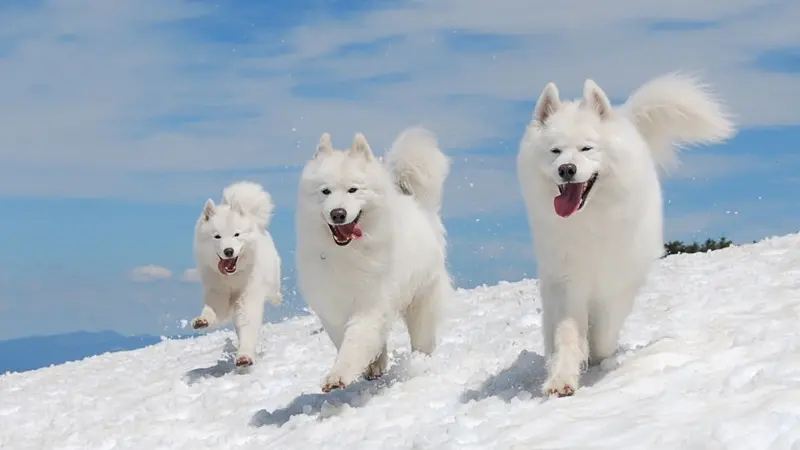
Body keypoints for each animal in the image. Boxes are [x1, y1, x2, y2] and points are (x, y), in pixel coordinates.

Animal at [192, 181, 282, 368]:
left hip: (272, 278)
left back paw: (277, 298)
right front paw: (202, 320)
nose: (228, 251)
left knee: (273, 291)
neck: (232, 278)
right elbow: (211, 309)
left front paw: (245, 357)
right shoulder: (217, 293)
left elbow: (247, 328)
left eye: (236, 234)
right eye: (217, 236)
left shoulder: (248, 298)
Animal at [296, 125, 456, 390]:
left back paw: (419, 363)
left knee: (422, 339)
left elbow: (355, 342)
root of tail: (418, 205)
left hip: (421, 301)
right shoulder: (332, 307)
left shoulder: (370, 303)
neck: (347, 254)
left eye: (353, 189)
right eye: (325, 191)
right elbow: (347, 339)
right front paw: (372, 364)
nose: (337, 213)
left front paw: (338, 375)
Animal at [516, 72, 736, 396]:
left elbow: (604, 330)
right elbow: (566, 333)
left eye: (586, 148)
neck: (589, 221)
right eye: (555, 151)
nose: (566, 169)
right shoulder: (566, 279)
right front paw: (562, 378)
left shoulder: (617, 280)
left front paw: (598, 355)